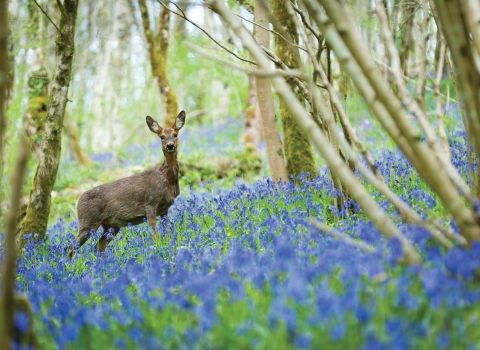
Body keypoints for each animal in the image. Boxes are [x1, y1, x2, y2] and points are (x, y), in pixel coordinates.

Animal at [67, 110, 186, 258]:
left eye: (175, 134)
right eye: (161, 137)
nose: (170, 145)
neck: (167, 180)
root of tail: (77, 201)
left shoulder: (165, 209)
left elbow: (166, 234)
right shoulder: (150, 203)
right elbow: (155, 235)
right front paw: (158, 249)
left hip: (111, 225)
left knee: (98, 246)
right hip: (88, 221)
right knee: (71, 246)